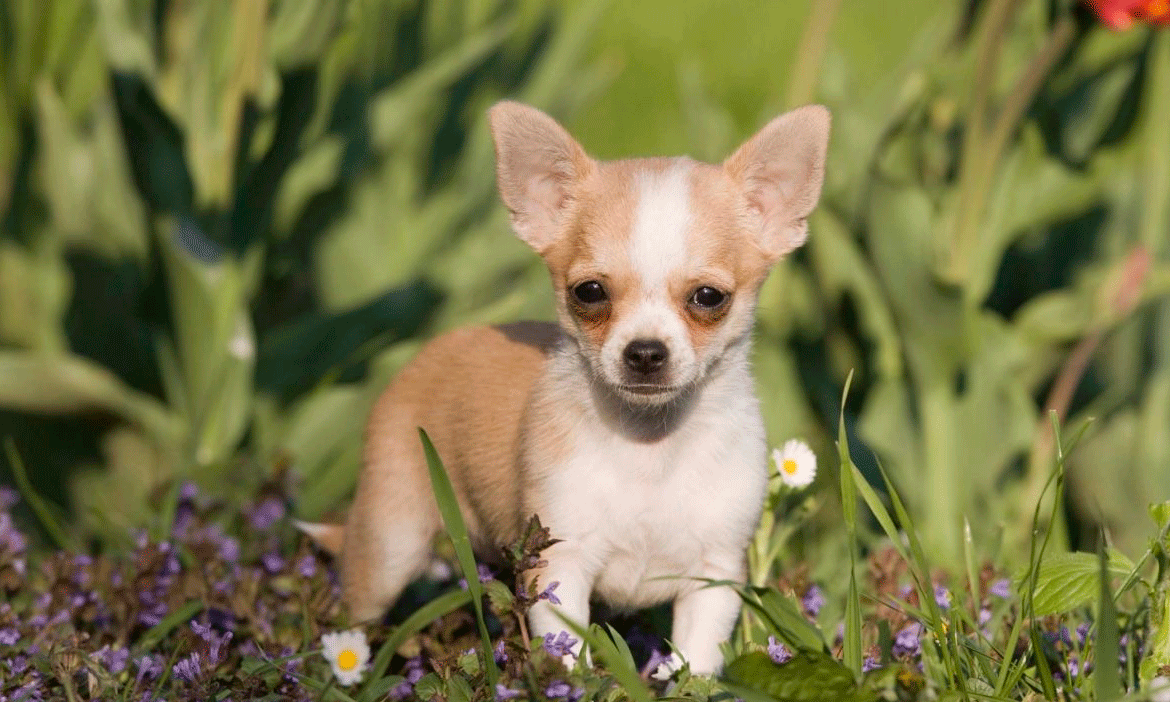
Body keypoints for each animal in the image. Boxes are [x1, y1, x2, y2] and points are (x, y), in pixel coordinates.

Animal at [301, 101, 833, 678]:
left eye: (709, 297)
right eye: (590, 292)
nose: (645, 352)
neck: (650, 445)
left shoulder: (714, 576)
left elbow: (695, 662)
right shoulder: (560, 564)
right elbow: (569, 654)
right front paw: (568, 679)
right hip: (390, 542)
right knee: (360, 607)